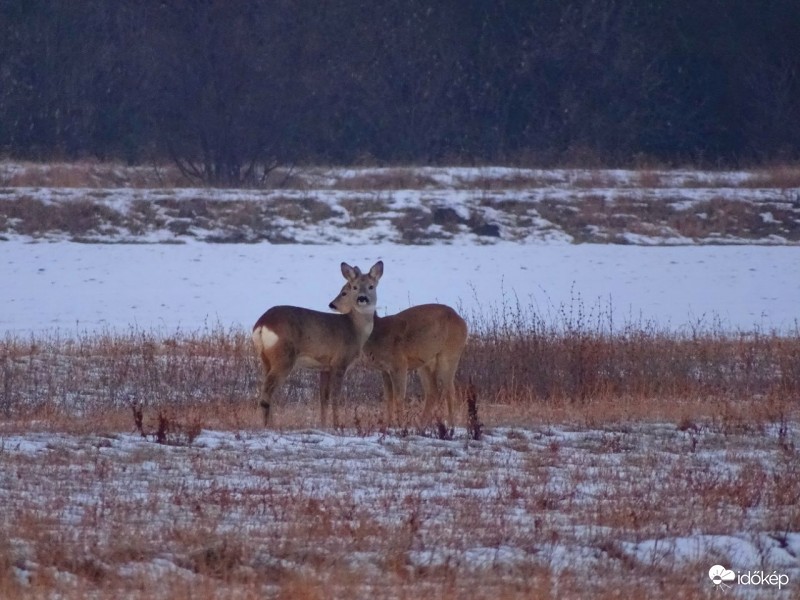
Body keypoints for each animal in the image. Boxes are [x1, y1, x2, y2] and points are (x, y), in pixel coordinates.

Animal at [253, 262, 384, 426]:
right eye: (354, 287)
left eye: (371, 286)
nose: (362, 298)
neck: (354, 329)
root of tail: (262, 324)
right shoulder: (340, 362)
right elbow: (335, 397)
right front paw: (337, 424)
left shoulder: (325, 367)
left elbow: (324, 398)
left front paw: (323, 424)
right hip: (284, 357)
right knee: (267, 392)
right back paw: (269, 426)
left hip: (265, 358)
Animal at [330, 288, 468, 424]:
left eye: (344, 292)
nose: (332, 304)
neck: (377, 334)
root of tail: (463, 322)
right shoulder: (384, 370)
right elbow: (388, 398)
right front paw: (388, 423)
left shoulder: (399, 363)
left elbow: (399, 397)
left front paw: (400, 424)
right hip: (425, 363)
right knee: (433, 392)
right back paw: (422, 424)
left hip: (450, 353)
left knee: (449, 390)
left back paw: (451, 423)